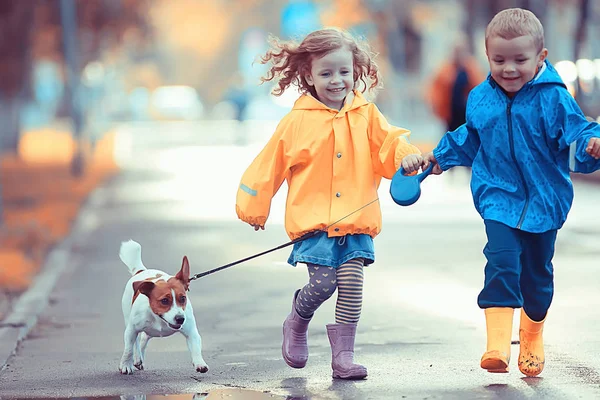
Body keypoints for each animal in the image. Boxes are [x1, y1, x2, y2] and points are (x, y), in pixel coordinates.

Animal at [118, 239, 210, 374]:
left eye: (183, 298)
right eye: (165, 300)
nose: (180, 319)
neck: (160, 320)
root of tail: (141, 271)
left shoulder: (191, 331)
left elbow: (196, 347)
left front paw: (200, 363)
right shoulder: (131, 330)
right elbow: (129, 349)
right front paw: (125, 365)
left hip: (149, 331)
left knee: (144, 338)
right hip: (128, 320)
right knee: (136, 342)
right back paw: (137, 357)